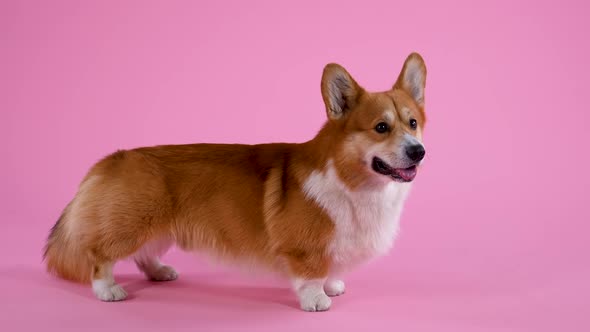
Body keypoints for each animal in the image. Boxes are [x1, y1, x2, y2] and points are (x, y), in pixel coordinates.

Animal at [44, 52, 428, 312]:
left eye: (412, 123)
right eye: (381, 127)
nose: (419, 151)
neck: (353, 180)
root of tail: (112, 159)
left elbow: (331, 266)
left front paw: (333, 284)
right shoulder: (303, 249)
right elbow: (310, 273)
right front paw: (317, 299)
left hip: (158, 228)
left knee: (143, 254)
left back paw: (159, 272)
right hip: (132, 225)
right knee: (100, 255)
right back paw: (107, 290)